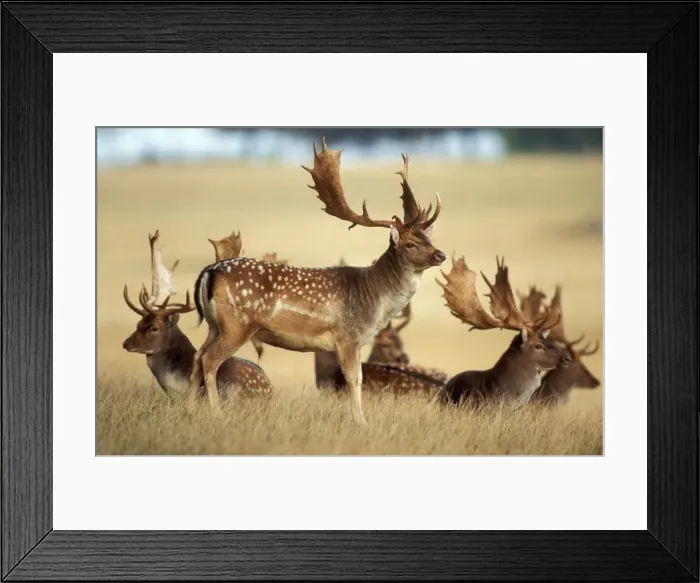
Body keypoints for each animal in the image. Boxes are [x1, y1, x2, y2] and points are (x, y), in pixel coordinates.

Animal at [187, 139, 445, 423]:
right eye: (410, 243)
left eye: (428, 238)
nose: (440, 255)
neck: (373, 299)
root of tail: (210, 271)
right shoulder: (347, 336)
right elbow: (355, 379)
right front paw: (361, 421)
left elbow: (357, 378)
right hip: (237, 324)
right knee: (209, 360)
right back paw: (216, 413)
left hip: (215, 325)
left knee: (197, 355)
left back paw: (186, 407)